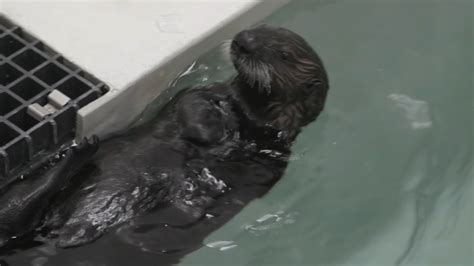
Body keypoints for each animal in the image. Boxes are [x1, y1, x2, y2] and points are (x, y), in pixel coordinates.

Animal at [0, 24, 328, 249]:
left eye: (283, 54)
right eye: (260, 30)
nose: (243, 40)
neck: (248, 113)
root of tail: (57, 231)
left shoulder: (271, 149)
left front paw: (221, 133)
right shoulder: (198, 93)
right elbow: (190, 104)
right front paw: (215, 120)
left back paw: (78, 159)